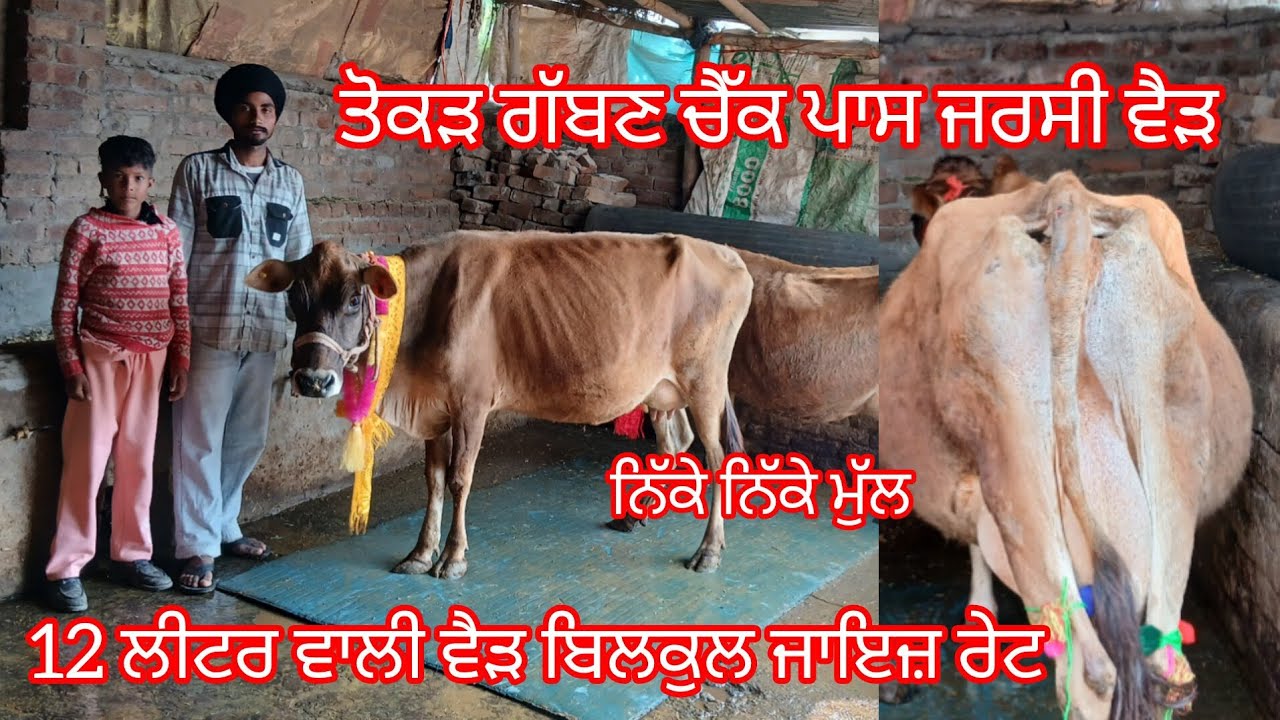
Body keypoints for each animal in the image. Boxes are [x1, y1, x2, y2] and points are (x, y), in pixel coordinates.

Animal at [246, 230, 754, 578]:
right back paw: (639, 516)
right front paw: (420, 553)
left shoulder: (471, 402)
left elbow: (459, 479)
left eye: (355, 299)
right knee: (674, 445)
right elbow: (432, 480)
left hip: (705, 383)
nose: (313, 379)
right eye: (294, 298)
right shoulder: (435, 407)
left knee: (717, 457)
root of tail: (730, 254)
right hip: (663, 390)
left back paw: (708, 550)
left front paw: (452, 558)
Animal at [880, 170, 1252, 719]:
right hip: (1170, 424)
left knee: (1091, 674)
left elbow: (975, 549)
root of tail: (1066, 200)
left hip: (1018, 466)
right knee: (1166, 666)